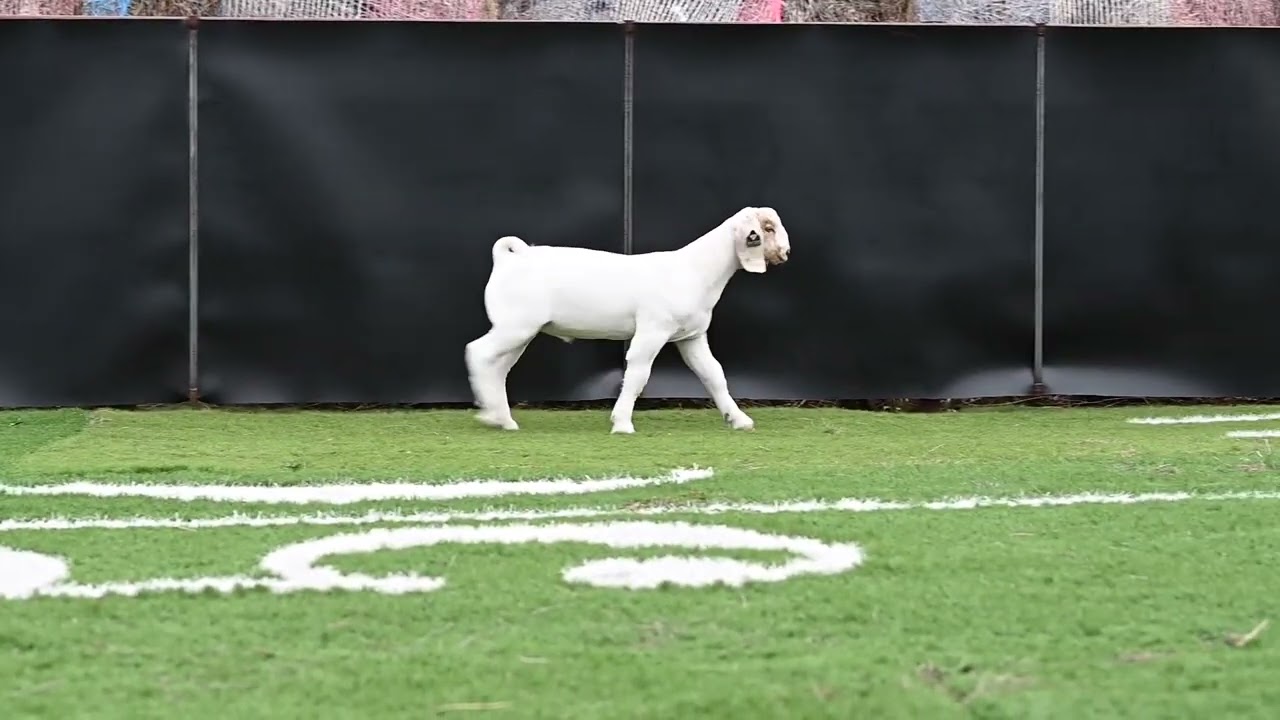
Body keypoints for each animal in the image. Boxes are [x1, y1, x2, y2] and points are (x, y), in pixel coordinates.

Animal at [464, 206, 791, 434]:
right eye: (768, 228)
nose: (786, 253)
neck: (694, 269)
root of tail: (512, 257)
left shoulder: (691, 337)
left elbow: (714, 375)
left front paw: (739, 419)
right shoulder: (653, 330)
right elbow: (637, 374)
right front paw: (622, 423)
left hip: (520, 331)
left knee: (498, 368)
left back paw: (502, 418)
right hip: (515, 326)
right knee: (477, 352)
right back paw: (492, 415)